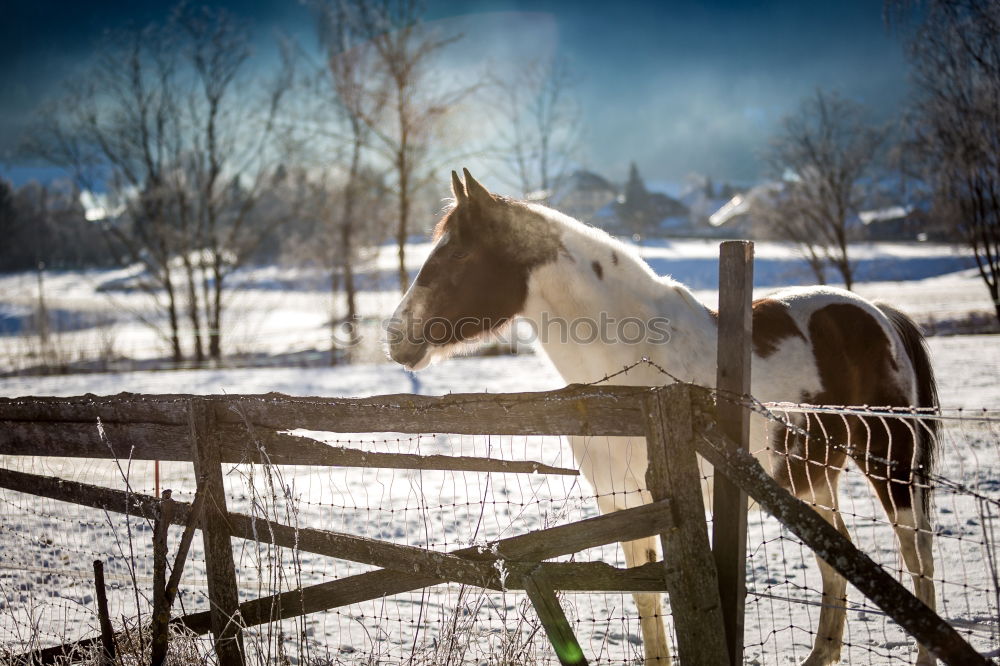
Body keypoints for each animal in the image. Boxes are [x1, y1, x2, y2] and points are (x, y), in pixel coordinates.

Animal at [386, 170, 940, 664]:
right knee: (838, 557)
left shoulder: (664, 498)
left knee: (918, 556)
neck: (631, 362)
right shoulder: (619, 498)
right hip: (809, 479)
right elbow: (646, 599)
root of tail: (879, 314)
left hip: (892, 466)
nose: (396, 336)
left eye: (458, 253)